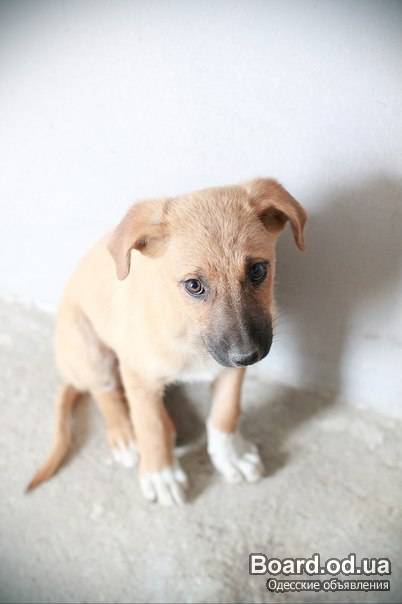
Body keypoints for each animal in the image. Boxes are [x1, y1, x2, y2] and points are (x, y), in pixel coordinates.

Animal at [27, 178, 307, 505]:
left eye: (258, 270)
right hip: (89, 348)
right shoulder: (138, 374)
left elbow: (225, 412)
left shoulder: (228, 370)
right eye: (194, 285)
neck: (189, 332)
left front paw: (230, 456)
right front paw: (160, 474)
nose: (247, 356)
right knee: (105, 392)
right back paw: (125, 435)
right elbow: (150, 426)